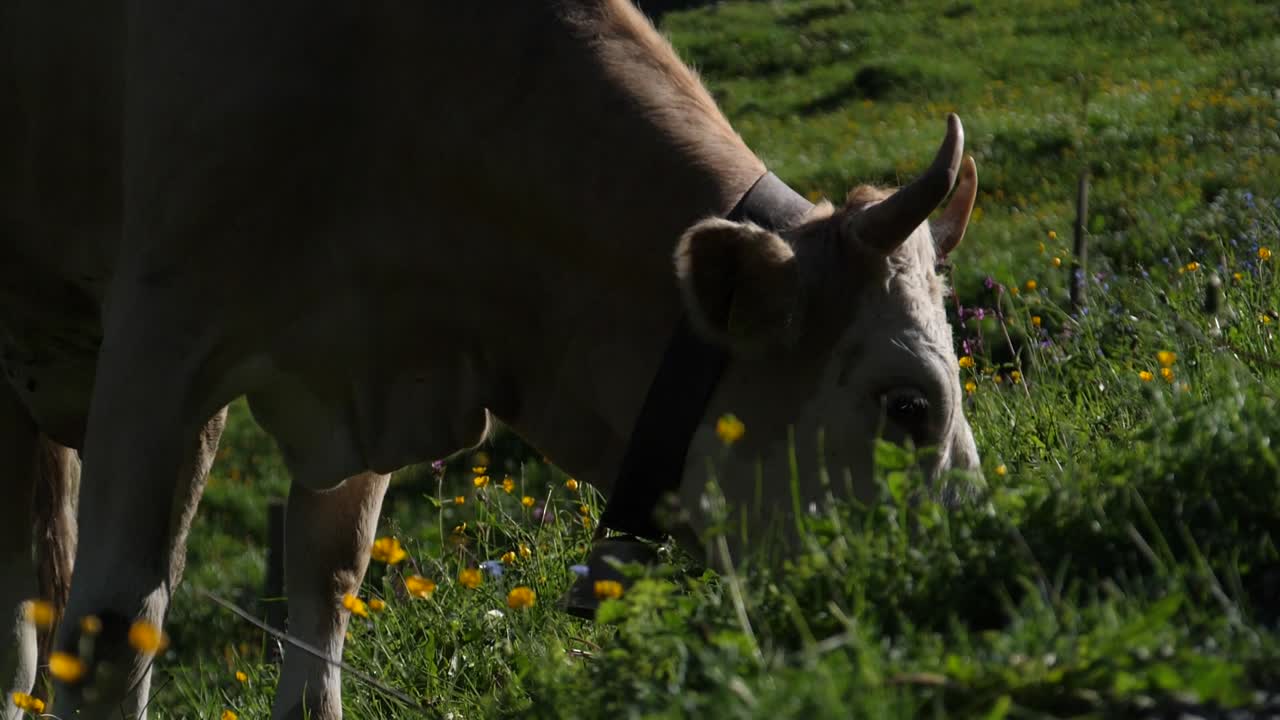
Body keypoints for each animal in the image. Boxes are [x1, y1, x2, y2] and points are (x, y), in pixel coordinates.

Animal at [0, 1, 980, 718]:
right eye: (909, 406)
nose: (960, 566)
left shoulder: (370, 371)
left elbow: (328, 597)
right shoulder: (162, 349)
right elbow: (112, 627)